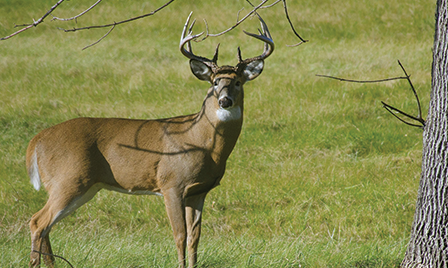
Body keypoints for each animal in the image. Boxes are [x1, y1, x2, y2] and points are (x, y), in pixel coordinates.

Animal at [27, 13, 272, 268]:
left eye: (238, 82)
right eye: (214, 82)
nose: (225, 101)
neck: (201, 143)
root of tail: (36, 140)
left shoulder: (198, 191)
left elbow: (195, 237)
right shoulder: (171, 183)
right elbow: (179, 234)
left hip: (82, 186)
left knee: (46, 226)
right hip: (68, 179)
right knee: (37, 221)